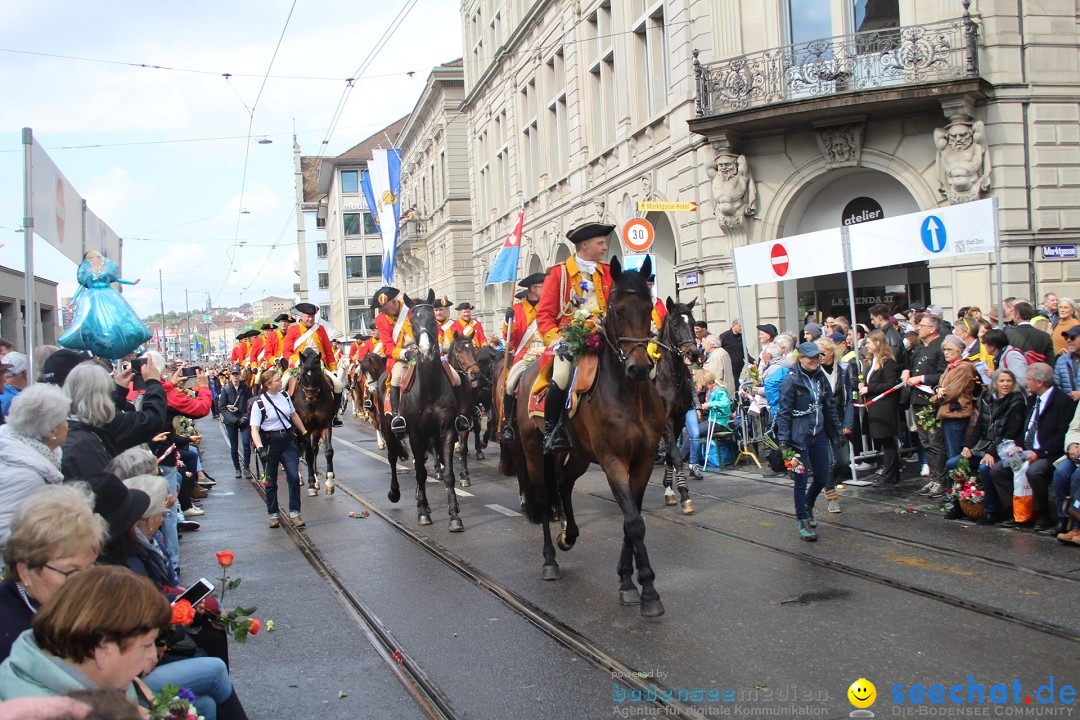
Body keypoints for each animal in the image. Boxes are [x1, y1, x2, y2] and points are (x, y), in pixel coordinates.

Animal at [291, 347, 336, 496]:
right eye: (303, 374)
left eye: (318, 375)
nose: (310, 400)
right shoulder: (304, 428)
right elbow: (308, 455)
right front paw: (311, 484)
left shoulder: (325, 425)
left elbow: (328, 451)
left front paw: (329, 482)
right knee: (299, 451)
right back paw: (301, 479)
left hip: (315, 430)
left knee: (314, 448)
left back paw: (316, 481)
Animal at [503, 255, 665, 617]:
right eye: (617, 309)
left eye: (649, 307)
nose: (638, 367)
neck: (629, 394)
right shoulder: (612, 460)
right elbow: (634, 522)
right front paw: (648, 591)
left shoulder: (644, 461)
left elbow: (631, 519)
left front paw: (627, 581)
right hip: (534, 449)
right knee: (541, 495)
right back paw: (550, 559)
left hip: (576, 453)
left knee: (562, 484)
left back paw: (570, 535)